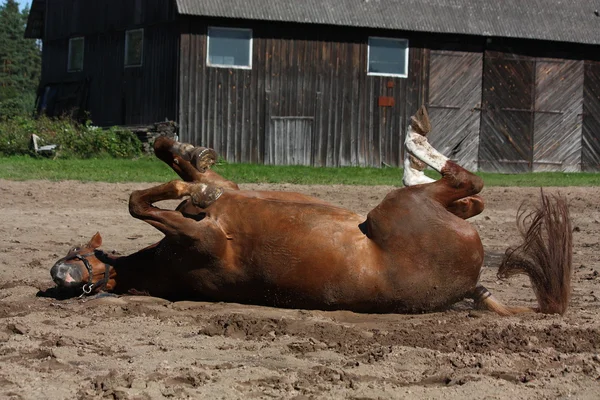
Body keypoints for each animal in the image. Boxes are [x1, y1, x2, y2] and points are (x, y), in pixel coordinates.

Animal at [50, 107, 572, 316]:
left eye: (77, 250)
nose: (61, 272)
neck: (165, 263)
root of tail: (468, 287)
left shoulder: (229, 191)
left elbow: (171, 156)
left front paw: (192, 163)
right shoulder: (205, 240)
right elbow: (140, 202)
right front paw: (194, 192)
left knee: (471, 195)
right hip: (396, 210)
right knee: (466, 183)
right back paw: (414, 139)